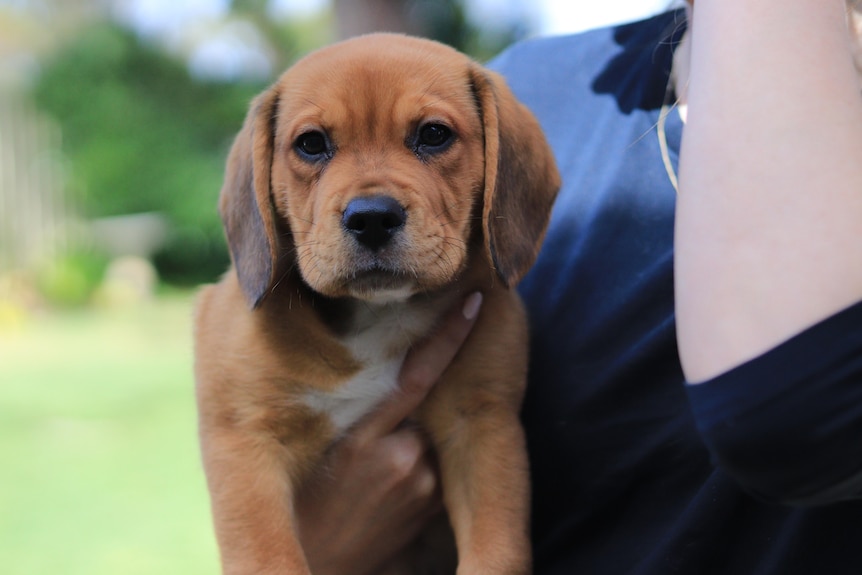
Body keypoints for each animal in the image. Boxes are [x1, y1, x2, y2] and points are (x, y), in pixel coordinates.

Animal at [194, 33, 560, 572]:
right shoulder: (245, 442)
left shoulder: (481, 427)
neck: (378, 314)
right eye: (311, 144)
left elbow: (496, 552)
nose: (371, 218)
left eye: (433, 135)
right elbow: (269, 557)